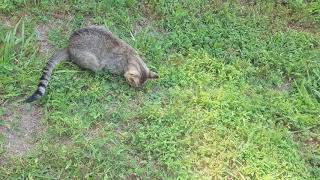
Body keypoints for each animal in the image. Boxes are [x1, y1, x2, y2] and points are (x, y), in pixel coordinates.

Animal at [25, 25, 158, 102]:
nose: (133, 88)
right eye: (132, 83)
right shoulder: (110, 65)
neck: (130, 57)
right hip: (91, 60)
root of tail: (69, 45)